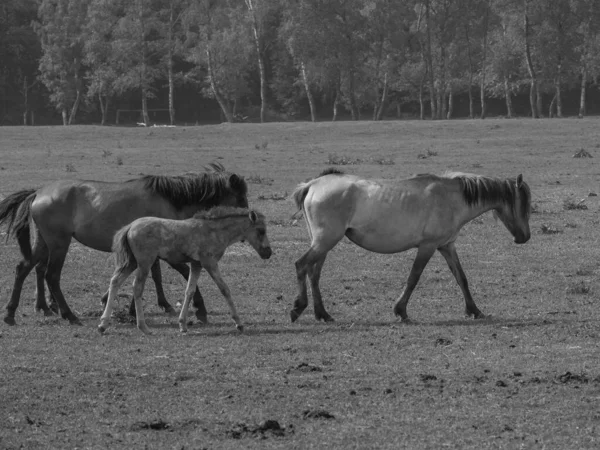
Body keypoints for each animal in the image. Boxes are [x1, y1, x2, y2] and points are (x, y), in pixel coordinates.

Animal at [0, 163, 248, 326]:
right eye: (241, 196)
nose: (249, 216)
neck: (169, 199)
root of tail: (38, 193)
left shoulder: (150, 250)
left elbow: (151, 276)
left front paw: (131, 308)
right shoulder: (166, 250)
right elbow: (183, 273)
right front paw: (199, 308)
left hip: (44, 243)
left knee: (24, 268)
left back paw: (12, 313)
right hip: (59, 243)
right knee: (50, 275)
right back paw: (68, 314)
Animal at [98, 207, 272, 334]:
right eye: (261, 230)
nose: (268, 253)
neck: (214, 232)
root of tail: (130, 226)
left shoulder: (196, 264)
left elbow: (189, 290)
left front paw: (182, 325)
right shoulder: (210, 263)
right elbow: (225, 289)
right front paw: (239, 323)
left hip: (132, 262)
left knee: (115, 281)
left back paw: (103, 324)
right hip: (145, 262)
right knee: (137, 287)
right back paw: (143, 327)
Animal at [290, 169, 528, 324]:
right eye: (523, 204)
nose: (525, 237)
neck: (452, 198)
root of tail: (312, 185)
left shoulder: (447, 246)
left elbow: (462, 278)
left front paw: (474, 310)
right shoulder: (428, 247)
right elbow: (414, 277)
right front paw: (401, 311)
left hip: (323, 244)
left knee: (314, 273)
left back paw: (323, 314)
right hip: (325, 241)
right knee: (301, 265)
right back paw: (298, 307)